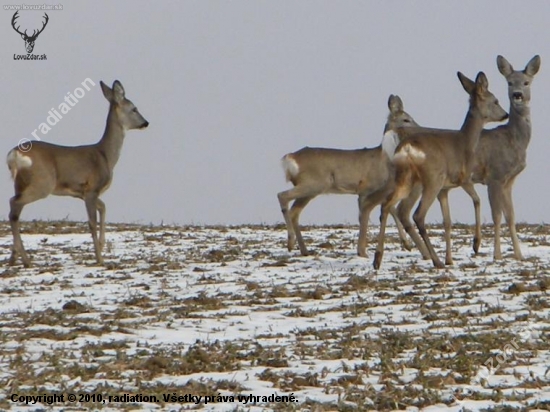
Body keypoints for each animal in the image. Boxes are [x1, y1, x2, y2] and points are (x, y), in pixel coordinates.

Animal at [7, 80, 149, 268]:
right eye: (134, 108)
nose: (146, 123)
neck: (106, 156)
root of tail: (14, 154)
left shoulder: (83, 192)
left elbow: (103, 207)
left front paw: (102, 245)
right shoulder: (91, 189)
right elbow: (92, 222)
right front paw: (99, 258)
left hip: (20, 184)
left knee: (15, 209)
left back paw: (14, 257)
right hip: (43, 183)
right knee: (14, 205)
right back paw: (26, 260)